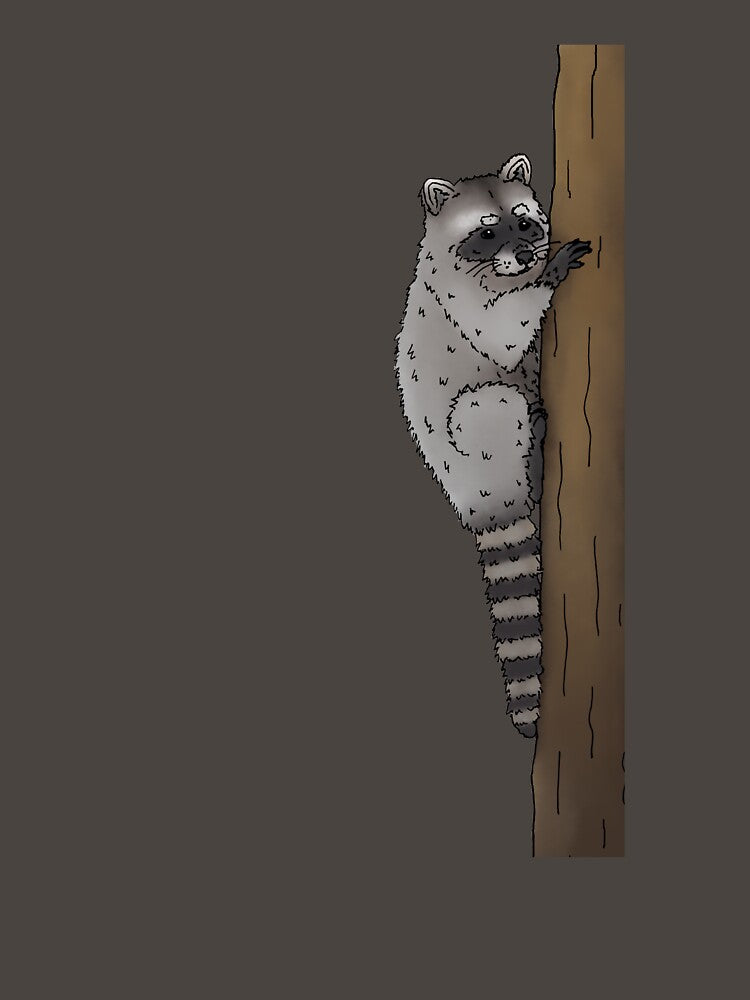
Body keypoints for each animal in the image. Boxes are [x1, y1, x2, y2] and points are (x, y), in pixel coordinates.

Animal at [395, 154, 590, 738]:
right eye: (486, 233)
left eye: (524, 222)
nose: (527, 255)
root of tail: (479, 498)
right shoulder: (460, 303)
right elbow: (502, 334)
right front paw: (547, 278)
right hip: (474, 444)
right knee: (496, 401)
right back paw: (534, 453)